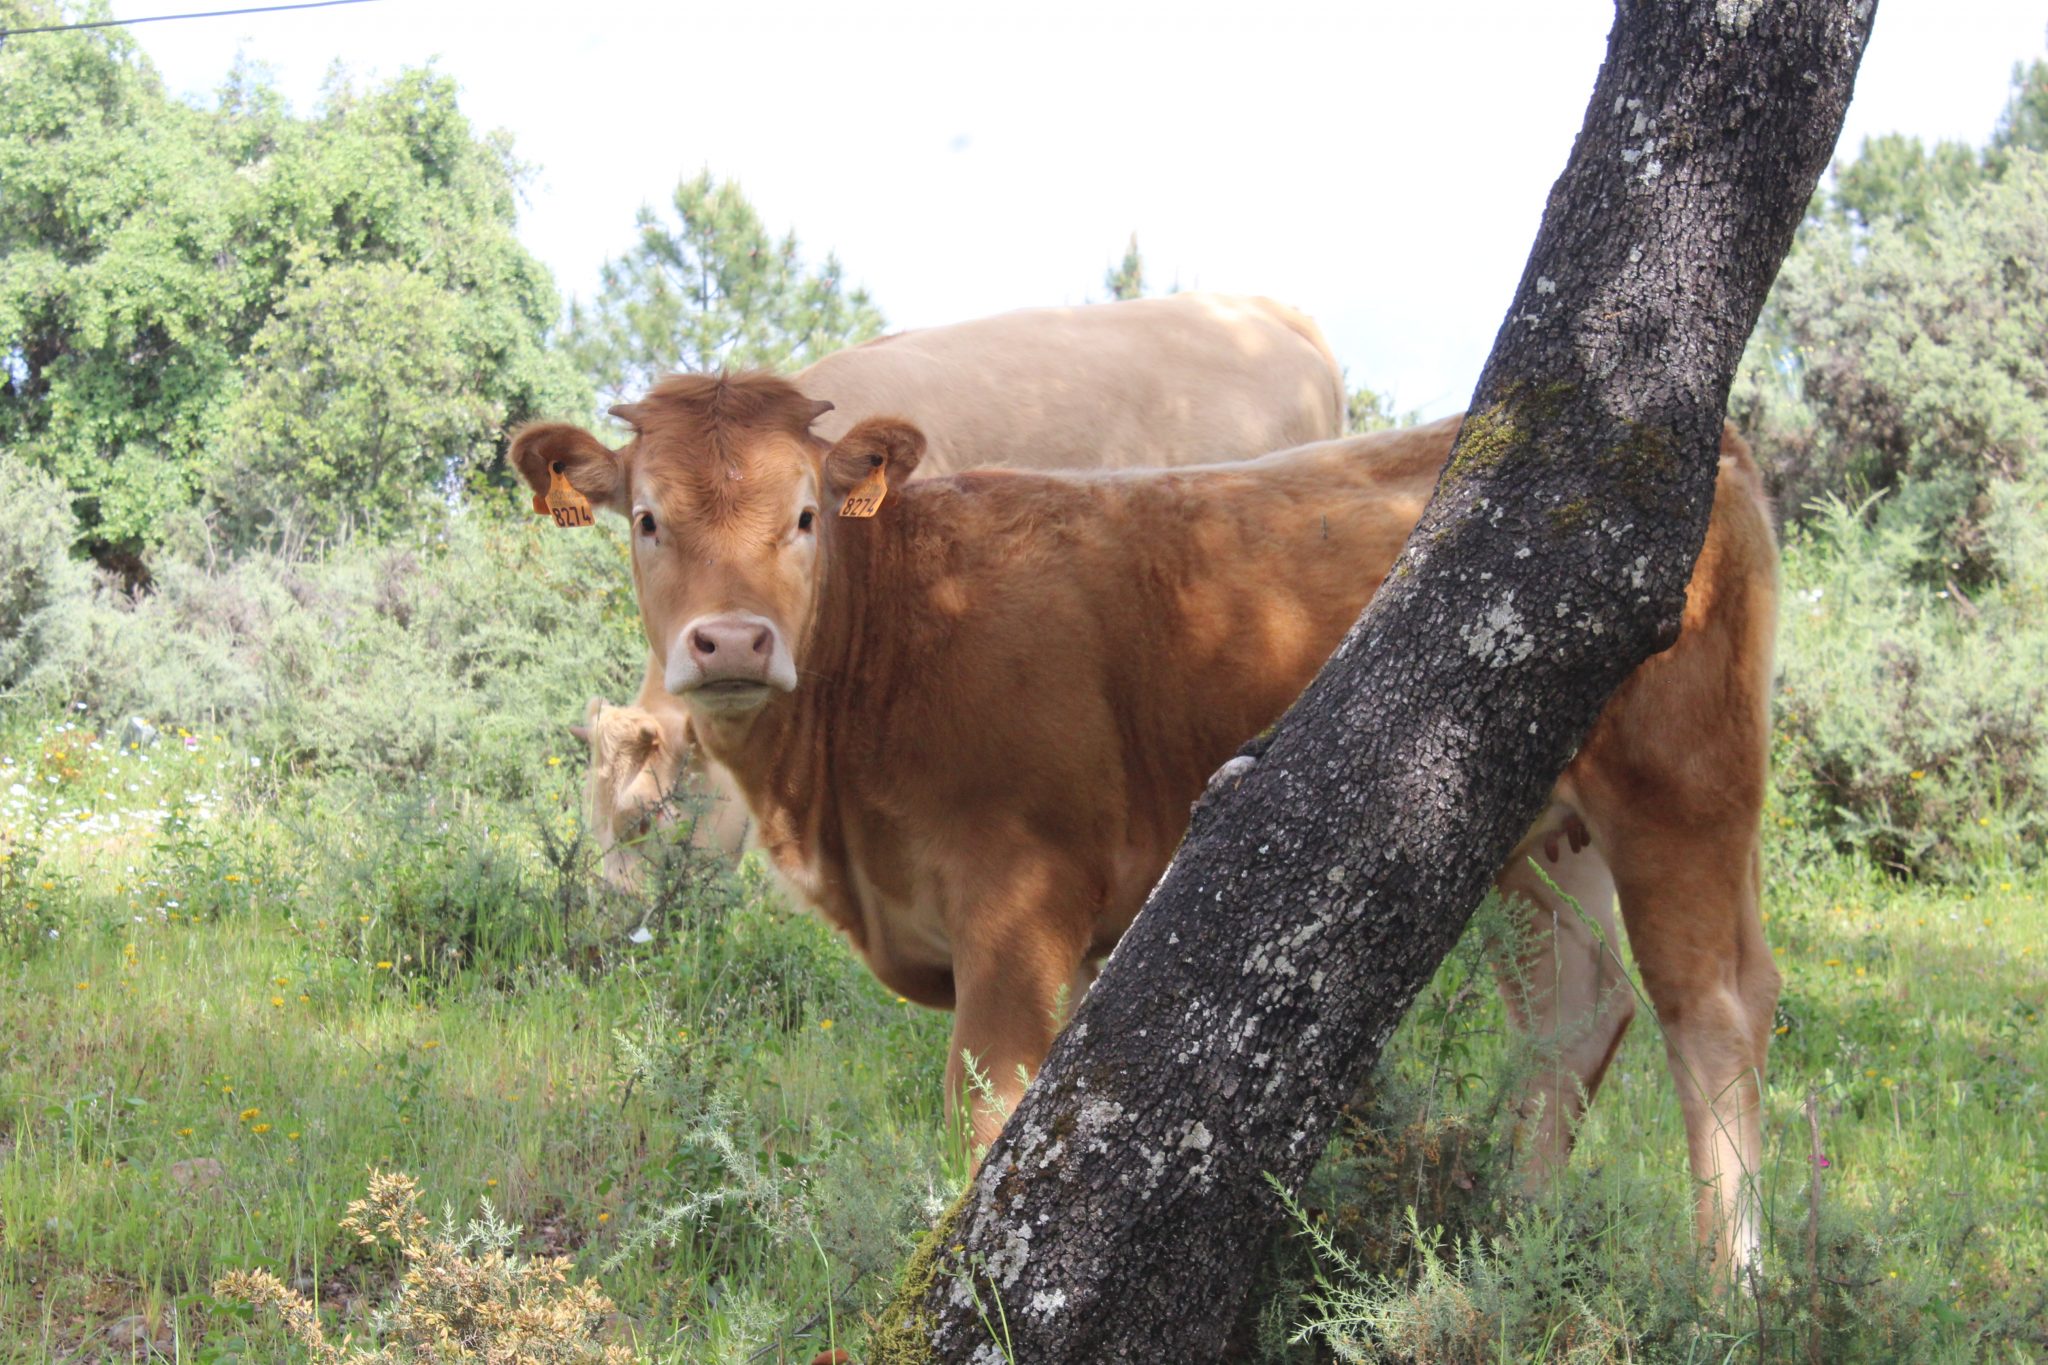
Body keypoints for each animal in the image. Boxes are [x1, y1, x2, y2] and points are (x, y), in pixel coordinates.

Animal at [520, 374, 1785, 1268]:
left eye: (802, 517)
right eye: (645, 519)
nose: (730, 641)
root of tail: (1705, 447)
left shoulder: (1018, 897)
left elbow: (990, 1111)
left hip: (1680, 782)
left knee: (1711, 1011)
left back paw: (1724, 1280)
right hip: (1527, 832)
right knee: (1573, 1010)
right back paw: (1506, 1249)